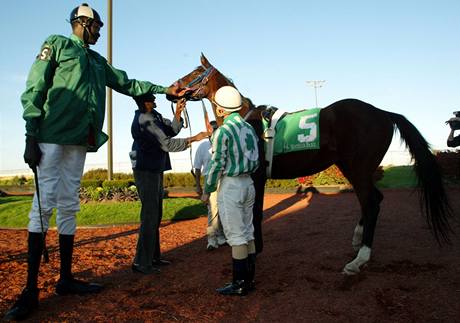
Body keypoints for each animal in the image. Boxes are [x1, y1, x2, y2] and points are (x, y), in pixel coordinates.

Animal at [169, 54, 452, 274]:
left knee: (371, 202)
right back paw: (357, 240)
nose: (171, 90)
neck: (244, 119)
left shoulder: (256, 176)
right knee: (374, 199)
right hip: (355, 168)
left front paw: (254, 252)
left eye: (195, 72)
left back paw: (359, 259)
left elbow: (255, 216)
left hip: (358, 168)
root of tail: (383, 113)